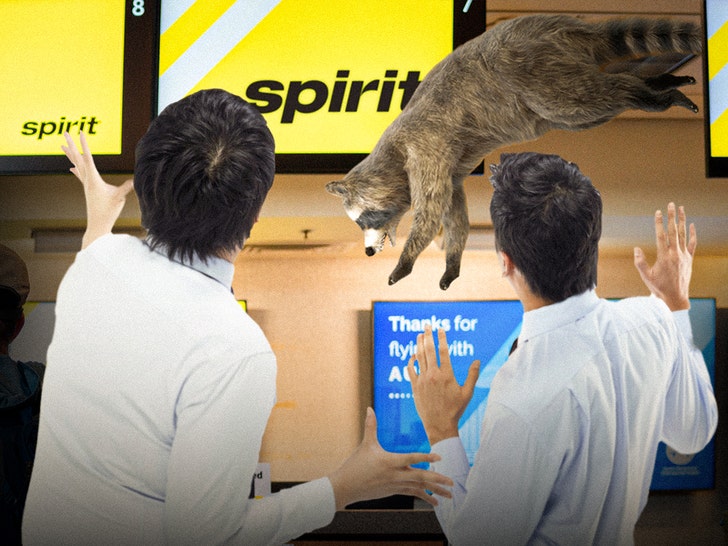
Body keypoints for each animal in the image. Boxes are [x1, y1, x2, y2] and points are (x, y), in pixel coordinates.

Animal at [324, 14, 700, 288]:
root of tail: (559, 23)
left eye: (363, 220)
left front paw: (406, 259)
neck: (391, 159)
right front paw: (452, 261)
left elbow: (430, 210)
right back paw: (653, 83)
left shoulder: (425, 148)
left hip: (531, 67)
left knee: (581, 101)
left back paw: (646, 95)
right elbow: (453, 211)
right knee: (587, 109)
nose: (368, 251)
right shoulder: (450, 169)